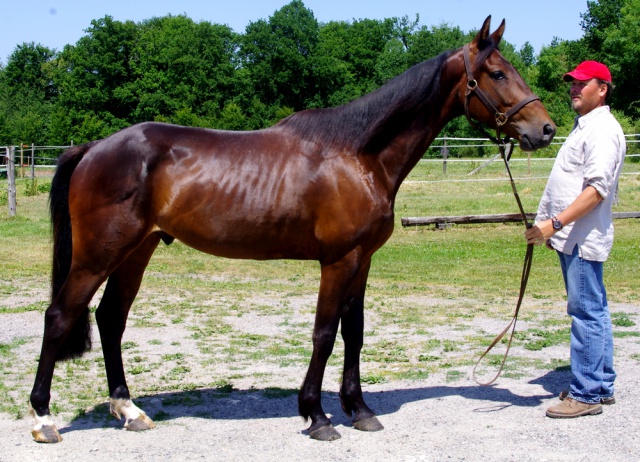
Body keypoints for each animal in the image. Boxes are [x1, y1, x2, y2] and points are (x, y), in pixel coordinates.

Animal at [30, 17, 556, 444]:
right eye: (497, 73)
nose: (546, 129)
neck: (358, 154)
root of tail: (94, 148)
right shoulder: (338, 261)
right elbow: (324, 332)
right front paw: (317, 416)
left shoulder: (363, 260)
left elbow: (354, 332)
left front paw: (359, 410)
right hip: (99, 254)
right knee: (59, 316)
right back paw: (43, 419)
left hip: (137, 251)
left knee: (110, 319)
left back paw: (129, 410)